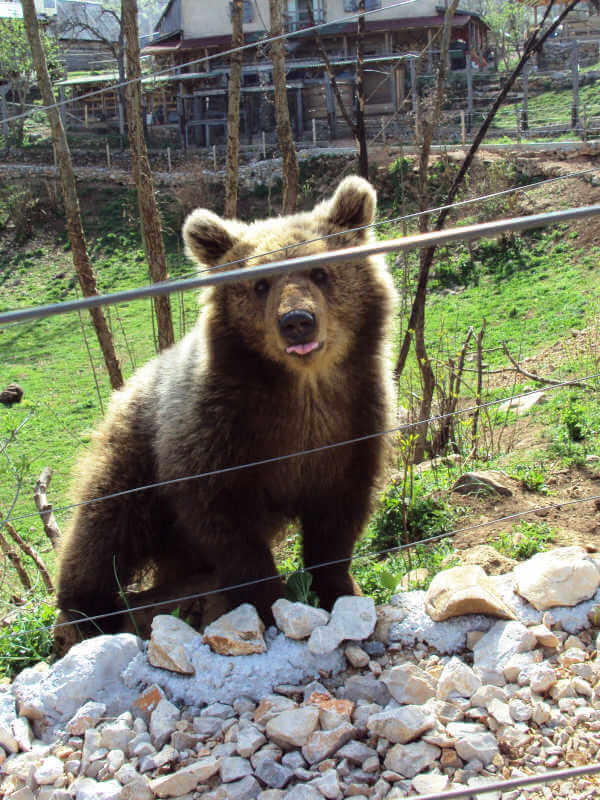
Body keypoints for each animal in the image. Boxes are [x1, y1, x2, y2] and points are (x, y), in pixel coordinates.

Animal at [56, 176, 397, 634]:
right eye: (260, 284)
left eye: (320, 271)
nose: (297, 322)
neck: (303, 387)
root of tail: (125, 390)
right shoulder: (215, 429)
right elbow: (225, 522)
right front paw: (269, 602)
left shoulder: (354, 421)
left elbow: (338, 516)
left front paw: (339, 587)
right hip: (135, 452)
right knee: (107, 522)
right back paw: (89, 608)